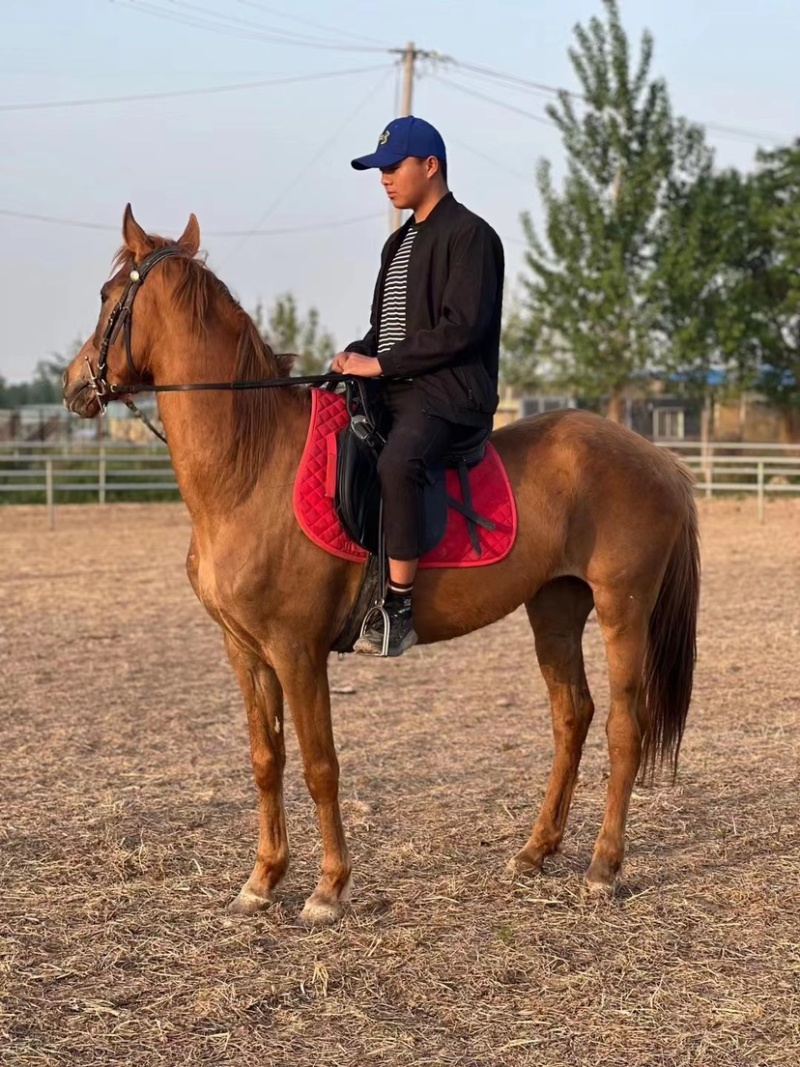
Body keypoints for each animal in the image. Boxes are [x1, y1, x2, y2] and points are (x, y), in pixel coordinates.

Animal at [63, 206, 700, 925]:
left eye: (108, 298)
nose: (73, 384)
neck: (251, 463)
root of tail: (658, 458)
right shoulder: (245, 650)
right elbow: (265, 759)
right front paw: (262, 879)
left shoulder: (296, 650)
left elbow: (319, 764)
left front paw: (328, 887)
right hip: (556, 608)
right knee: (572, 717)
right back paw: (535, 851)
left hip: (624, 610)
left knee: (625, 727)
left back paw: (602, 867)